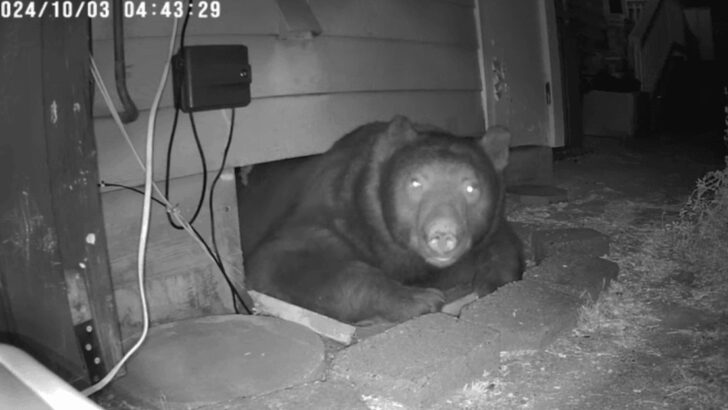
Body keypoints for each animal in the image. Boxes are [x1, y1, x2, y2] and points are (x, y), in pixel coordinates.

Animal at [242, 115, 524, 325]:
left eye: (471, 188)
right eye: (415, 182)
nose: (443, 235)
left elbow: (501, 242)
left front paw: (493, 281)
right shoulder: (332, 208)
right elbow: (279, 259)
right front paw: (420, 298)